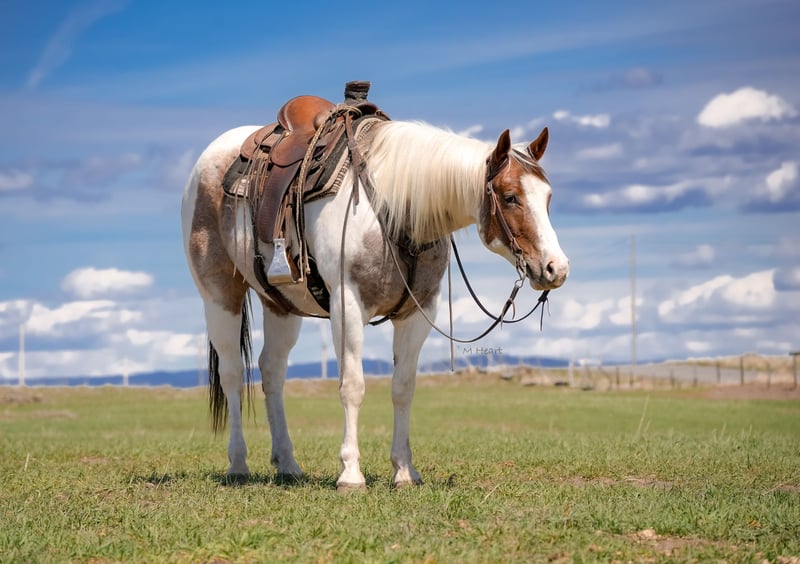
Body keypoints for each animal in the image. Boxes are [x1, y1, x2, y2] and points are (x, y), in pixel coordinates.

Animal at [181, 100, 569, 490]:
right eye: (510, 197)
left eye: (549, 197)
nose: (557, 268)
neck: (396, 210)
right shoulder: (348, 307)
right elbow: (352, 385)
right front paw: (351, 473)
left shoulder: (418, 312)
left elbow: (403, 387)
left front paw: (404, 470)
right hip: (219, 295)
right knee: (232, 373)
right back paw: (238, 464)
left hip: (281, 306)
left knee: (272, 371)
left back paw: (287, 463)